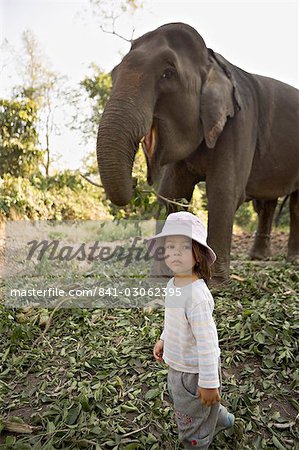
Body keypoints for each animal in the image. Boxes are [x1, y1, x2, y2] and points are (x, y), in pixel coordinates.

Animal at [96, 22, 299, 284]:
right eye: (114, 74)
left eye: (168, 74)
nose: (135, 180)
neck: (214, 62)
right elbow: (172, 193)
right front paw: (162, 277)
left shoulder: (239, 124)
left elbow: (224, 191)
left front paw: (214, 281)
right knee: (269, 202)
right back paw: (259, 258)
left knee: (294, 204)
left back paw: (292, 260)